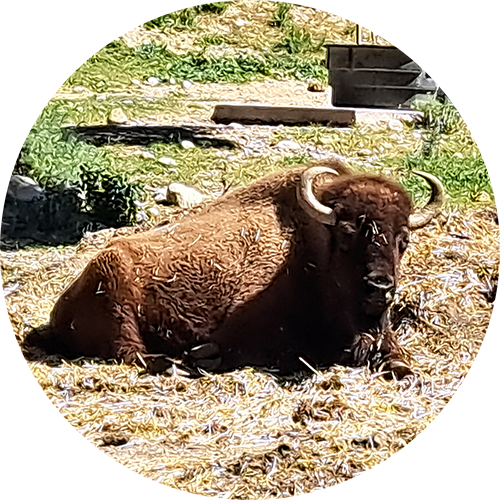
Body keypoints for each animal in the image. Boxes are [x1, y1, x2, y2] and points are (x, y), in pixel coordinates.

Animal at [23, 159, 444, 378]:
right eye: (346, 235)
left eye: (403, 240)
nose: (380, 287)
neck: (311, 254)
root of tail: (61, 305)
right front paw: (205, 355)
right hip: (116, 299)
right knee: (132, 352)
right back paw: (179, 363)